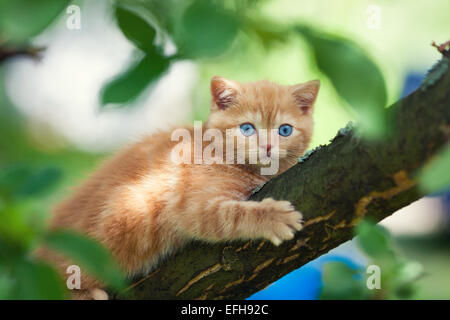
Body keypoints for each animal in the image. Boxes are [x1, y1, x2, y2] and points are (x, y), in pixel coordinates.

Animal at [37, 76, 320, 298]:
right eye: (247, 128)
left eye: (285, 130)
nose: (268, 147)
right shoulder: (188, 205)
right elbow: (230, 214)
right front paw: (273, 216)